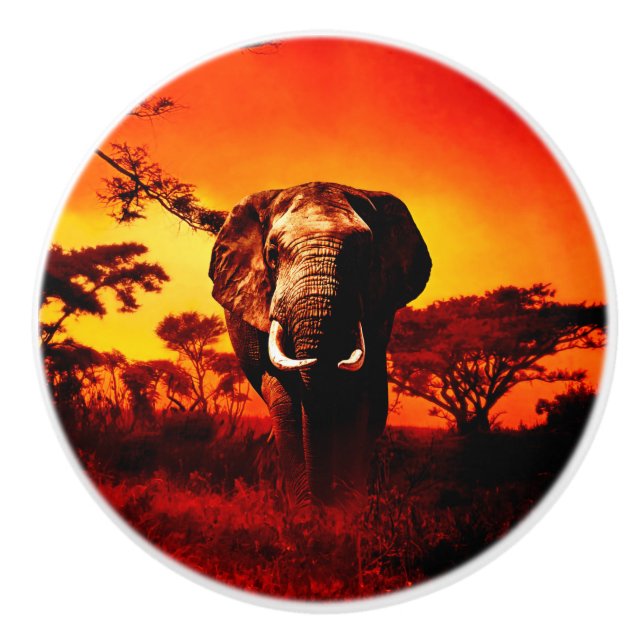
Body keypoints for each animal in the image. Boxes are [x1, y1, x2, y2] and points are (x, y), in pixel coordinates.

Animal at [208, 182, 431, 511]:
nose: (320, 504)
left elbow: (356, 397)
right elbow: (286, 401)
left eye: (365, 256)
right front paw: (306, 515)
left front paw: (343, 513)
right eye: (272, 255)